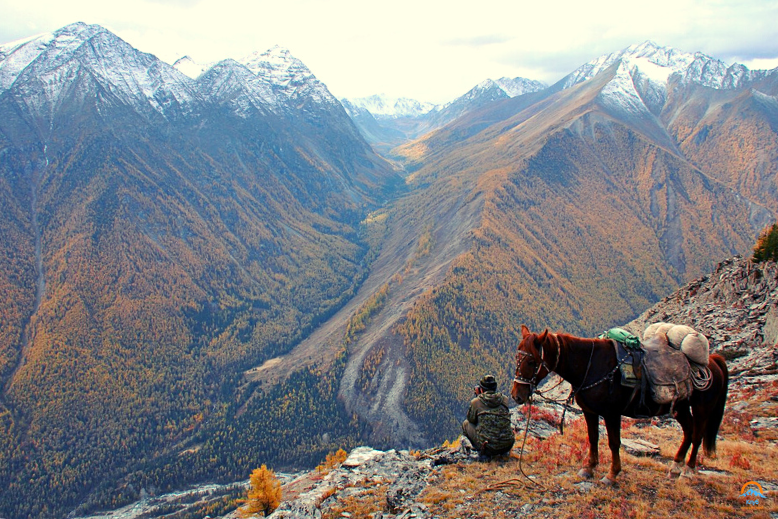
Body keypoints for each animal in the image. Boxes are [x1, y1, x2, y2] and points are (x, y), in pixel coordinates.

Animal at [510, 322, 728, 486]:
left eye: (531, 362)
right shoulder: (589, 411)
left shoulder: (612, 413)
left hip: (702, 408)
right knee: (689, 431)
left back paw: (687, 471)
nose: (516, 396)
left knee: (698, 434)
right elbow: (593, 438)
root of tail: (712, 360)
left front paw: (612, 474)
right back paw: (675, 467)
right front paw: (588, 468)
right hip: (680, 408)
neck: (591, 366)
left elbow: (614, 443)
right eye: (516, 358)